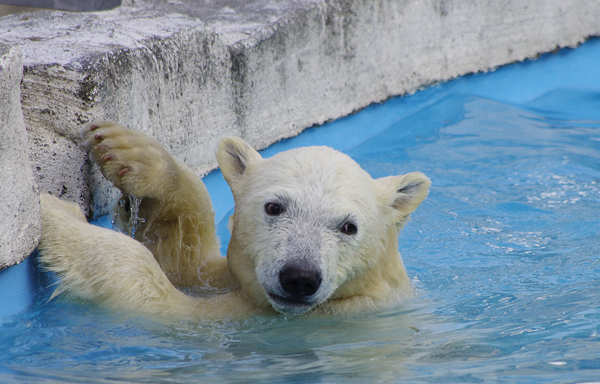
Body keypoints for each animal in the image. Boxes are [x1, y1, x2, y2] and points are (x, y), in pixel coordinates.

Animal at [37, 121, 428, 320]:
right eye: (274, 207)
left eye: (349, 226)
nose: (299, 278)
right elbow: (190, 260)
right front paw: (129, 150)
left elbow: (164, 301)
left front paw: (54, 211)